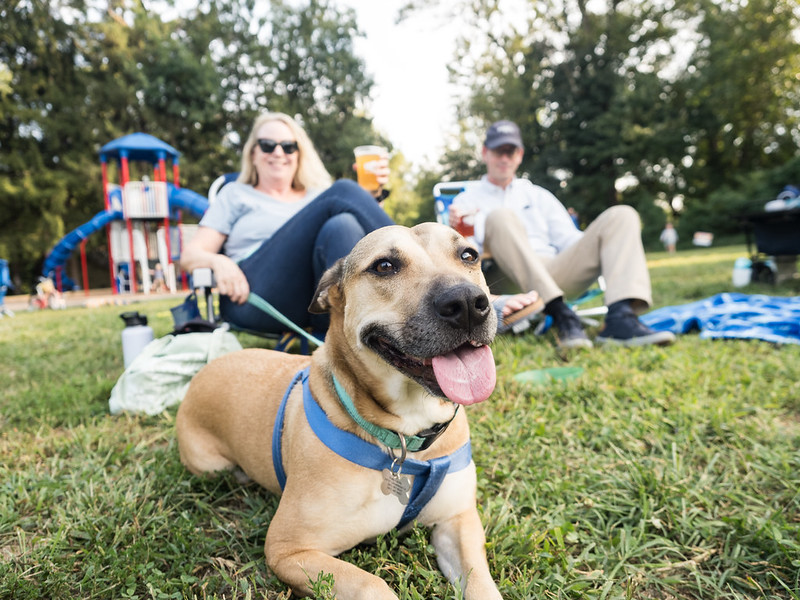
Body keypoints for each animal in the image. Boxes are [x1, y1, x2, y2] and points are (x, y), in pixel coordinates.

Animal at [177, 223, 500, 596]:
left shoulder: (457, 522)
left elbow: (481, 584)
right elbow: (372, 584)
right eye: (384, 266)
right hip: (208, 465)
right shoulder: (289, 549)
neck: (405, 434)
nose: (467, 303)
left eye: (469, 255)